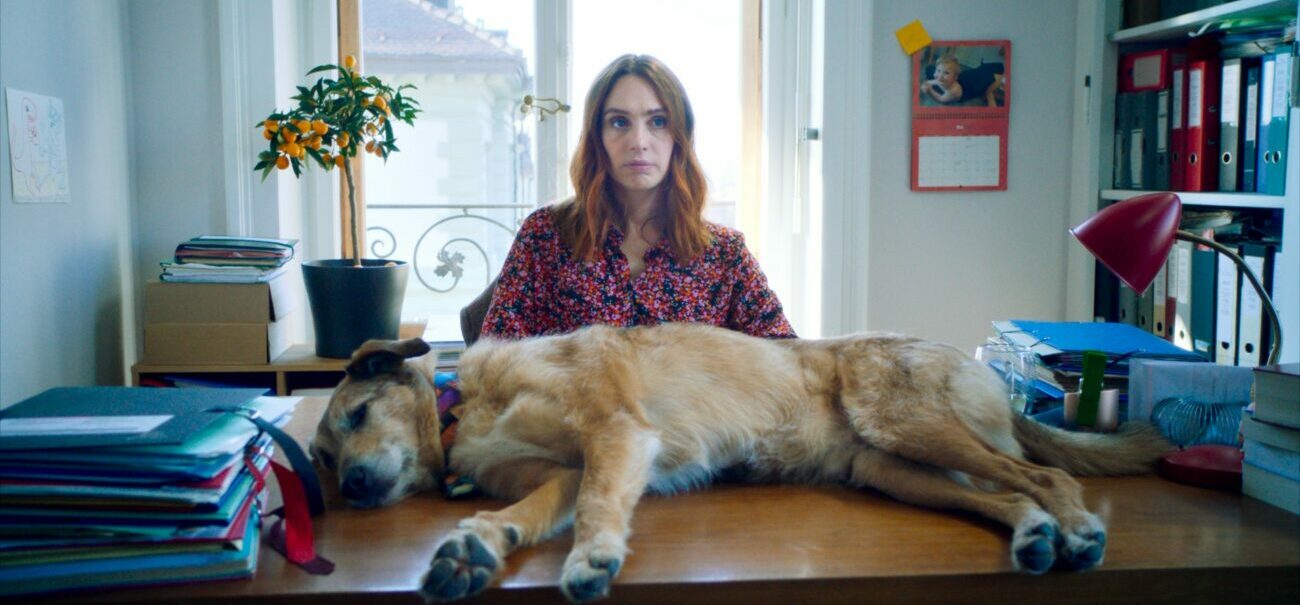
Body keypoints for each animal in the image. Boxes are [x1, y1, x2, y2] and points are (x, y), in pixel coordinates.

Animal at [310, 323, 1173, 603]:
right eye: (320, 456)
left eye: (358, 414)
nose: (351, 486)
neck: (465, 412)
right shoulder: (558, 472)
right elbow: (522, 513)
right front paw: (473, 549)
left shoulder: (615, 433)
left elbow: (597, 506)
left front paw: (592, 556)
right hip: (894, 469)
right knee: (1005, 495)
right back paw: (1034, 535)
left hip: (905, 424)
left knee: (1050, 475)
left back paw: (1077, 530)